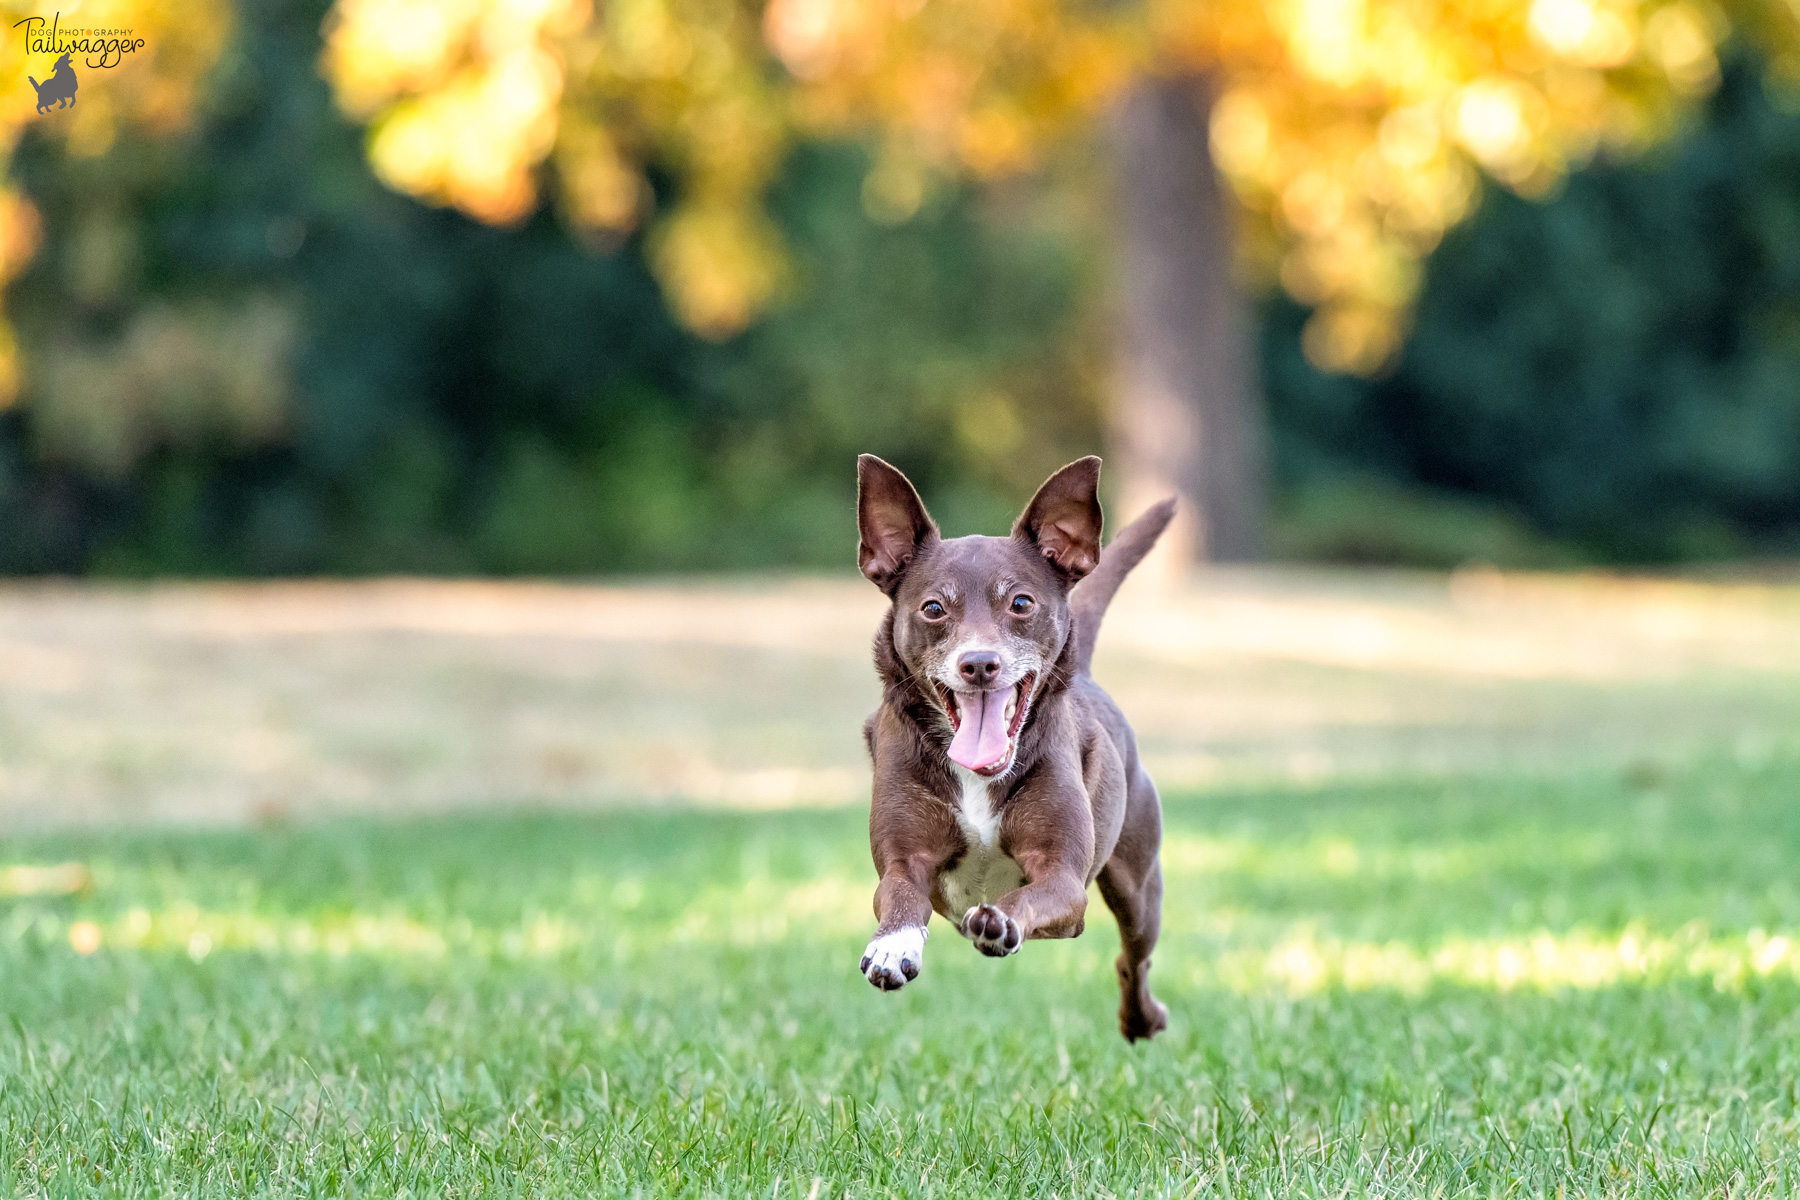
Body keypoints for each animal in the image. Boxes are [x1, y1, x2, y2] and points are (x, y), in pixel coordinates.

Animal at [856, 453, 1180, 1043]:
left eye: (1021, 603)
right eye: (933, 608)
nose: (979, 663)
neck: (978, 775)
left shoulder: (1062, 878)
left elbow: (1030, 895)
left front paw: (999, 922)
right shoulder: (902, 862)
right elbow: (901, 897)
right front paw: (892, 948)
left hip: (1138, 887)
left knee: (1133, 957)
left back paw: (1142, 1019)